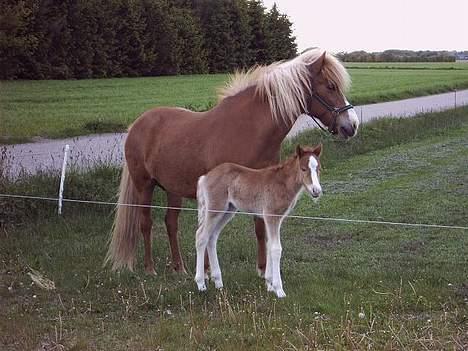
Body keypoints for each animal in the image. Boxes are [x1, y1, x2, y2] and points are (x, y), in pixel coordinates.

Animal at [105, 48, 358, 276]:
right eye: (331, 86)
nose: (352, 125)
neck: (246, 129)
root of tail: (137, 124)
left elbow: (259, 228)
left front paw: (262, 269)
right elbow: (210, 232)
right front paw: (209, 271)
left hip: (172, 188)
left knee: (170, 223)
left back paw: (180, 269)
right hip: (144, 185)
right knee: (145, 223)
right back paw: (150, 269)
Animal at [194, 144, 322, 298]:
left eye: (319, 168)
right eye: (303, 169)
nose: (316, 191)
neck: (282, 183)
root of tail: (205, 177)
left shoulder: (274, 219)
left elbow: (269, 245)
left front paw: (269, 284)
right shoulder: (271, 216)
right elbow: (276, 248)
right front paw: (279, 290)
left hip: (228, 211)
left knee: (212, 237)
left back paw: (218, 282)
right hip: (215, 209)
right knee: (201, 236)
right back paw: (201, 284)